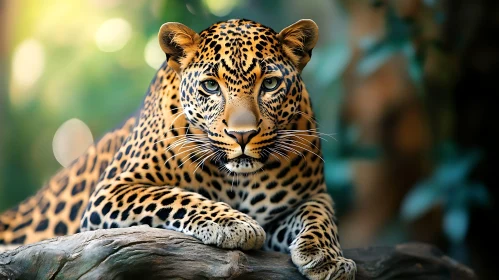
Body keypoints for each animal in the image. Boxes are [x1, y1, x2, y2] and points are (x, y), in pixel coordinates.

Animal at [1, 18, 358, 278]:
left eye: (270, 84)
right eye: (211, 86)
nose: (242, 135)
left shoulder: (307, 198)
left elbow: (319, 214)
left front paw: (327, 258)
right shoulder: (111, 191)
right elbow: (175, 196)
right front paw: (233, 224)